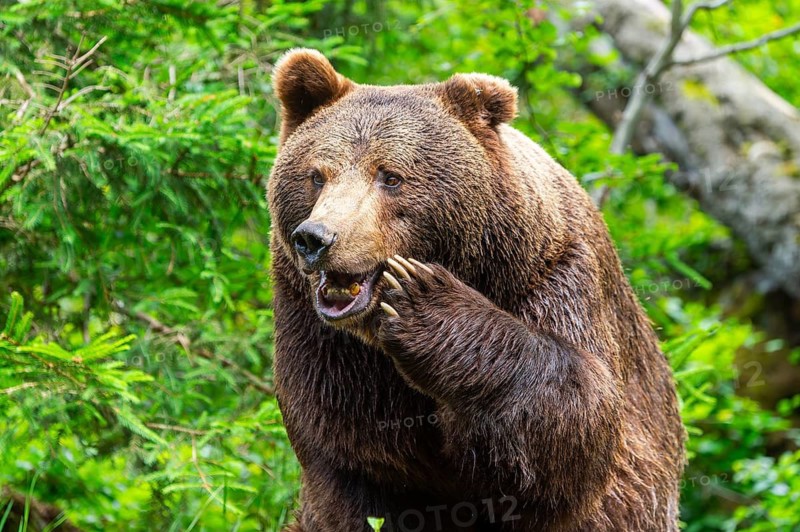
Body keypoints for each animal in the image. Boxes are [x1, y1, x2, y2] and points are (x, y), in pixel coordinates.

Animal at [267, 48, 685, 531]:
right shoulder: (325, 347)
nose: (316, 238)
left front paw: (421, 298)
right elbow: (351, 463)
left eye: (390, 176)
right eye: (317, 175)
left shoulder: (558, 281)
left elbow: (572, 419)